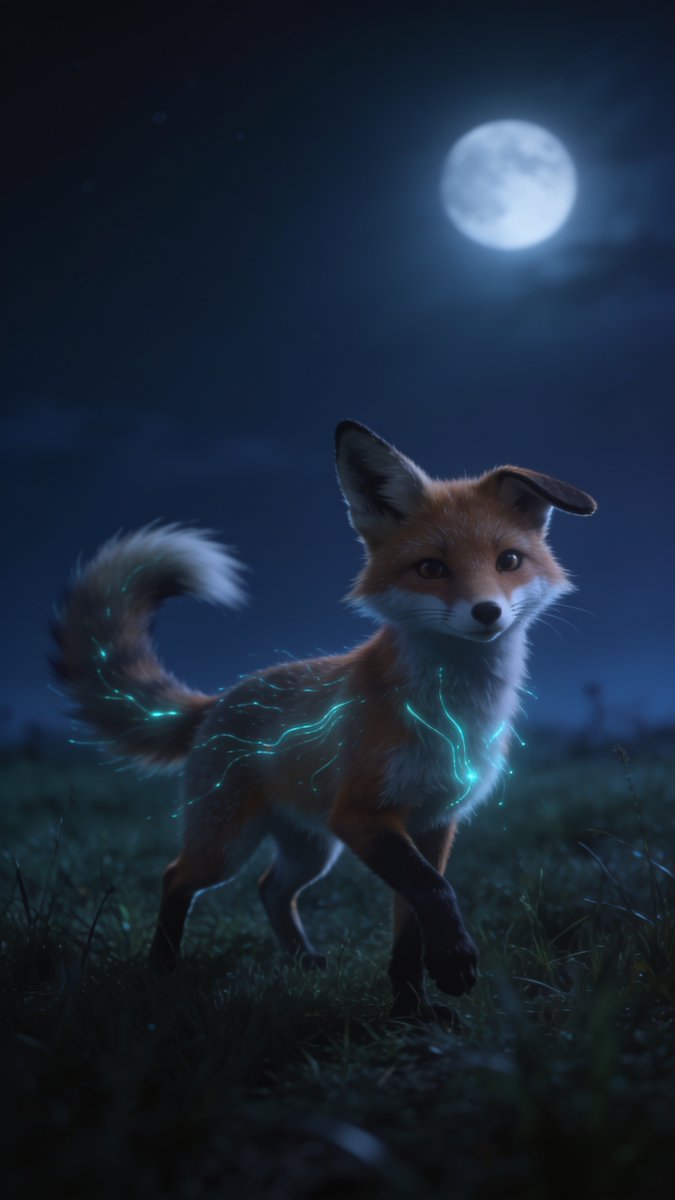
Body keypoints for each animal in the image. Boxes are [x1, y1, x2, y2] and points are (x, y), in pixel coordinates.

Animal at [51, 420, 596, 1020]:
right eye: (432, 568)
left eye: (508, 561)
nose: (487, 613)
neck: (452, 719)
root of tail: (218, 700)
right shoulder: (361, 815)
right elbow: (434, 892)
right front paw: (453, 963)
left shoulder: (433, 822)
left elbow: (411, 925)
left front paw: (411, 1011)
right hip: (228, 844)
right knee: (177, 878)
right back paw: (162, 971)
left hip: (311, 850)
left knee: (270, 888)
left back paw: (301, 960)